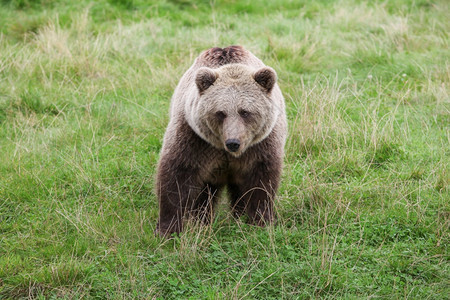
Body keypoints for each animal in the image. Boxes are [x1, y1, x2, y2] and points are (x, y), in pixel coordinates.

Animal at [156, 45, 286, 237]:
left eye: (245, 112)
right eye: (220, 113)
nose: (233, 142)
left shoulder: (260, 146)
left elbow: (261, 184)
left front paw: (260, 222)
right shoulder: (195, 140)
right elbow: (177, 177)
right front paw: (167, 229)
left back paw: (237, 216)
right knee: (205, 194)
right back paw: (201, 219)